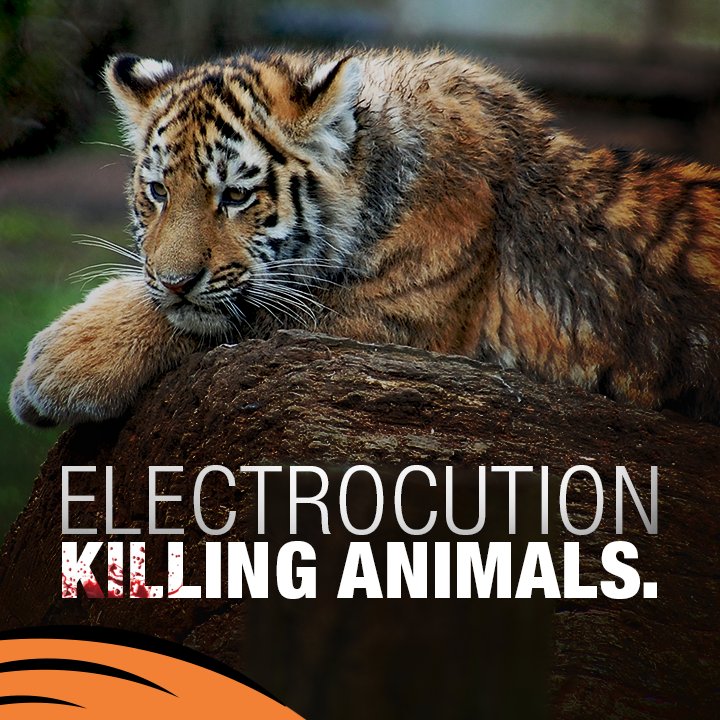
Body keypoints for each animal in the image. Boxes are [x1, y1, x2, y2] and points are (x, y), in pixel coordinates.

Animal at [9, 48, 720, 427]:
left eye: (235, 196)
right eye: (157, 191)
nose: (174, 280)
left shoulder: (387, 320)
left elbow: (228, 318)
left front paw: (58, 364)